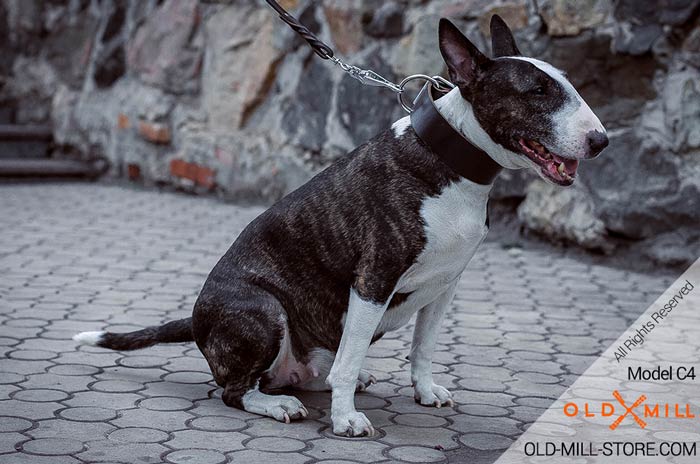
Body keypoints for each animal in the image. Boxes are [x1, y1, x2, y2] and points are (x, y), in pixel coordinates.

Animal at [72, 14, 608, 436]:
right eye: (537, 92)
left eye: (565, 83)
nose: (601, 141)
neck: (453, 163)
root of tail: (198, 322)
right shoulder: (374, 278)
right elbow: (348, 363)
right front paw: (346, 418)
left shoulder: (447, 284)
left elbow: (424, 347)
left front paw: (425, 390)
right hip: (263, 310)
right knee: (234, 389)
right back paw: (278, 404)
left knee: (302, 372)